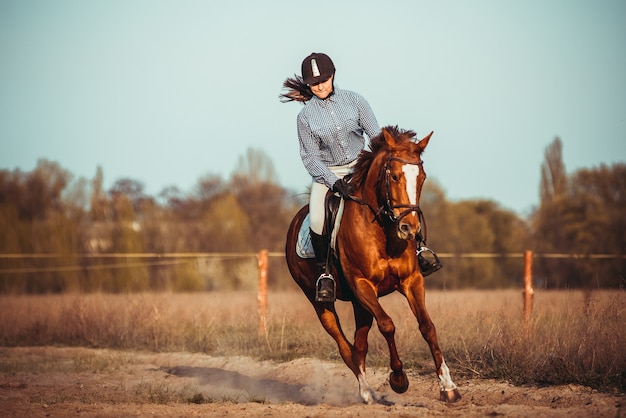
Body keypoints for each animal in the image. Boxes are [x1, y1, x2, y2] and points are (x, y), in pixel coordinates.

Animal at [286, 125, 460, 404]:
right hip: (322, 303)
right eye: (395, 177)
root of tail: (294, 224)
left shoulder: (411, 280)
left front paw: (448, 386)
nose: (409, 229)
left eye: (421, 177)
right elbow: (388, 325)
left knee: (359, 345)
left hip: (360, 305)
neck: (381, 229)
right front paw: (399, 379)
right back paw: (366, 392)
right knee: (345, 347)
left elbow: (427, 326)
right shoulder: (362, 285)